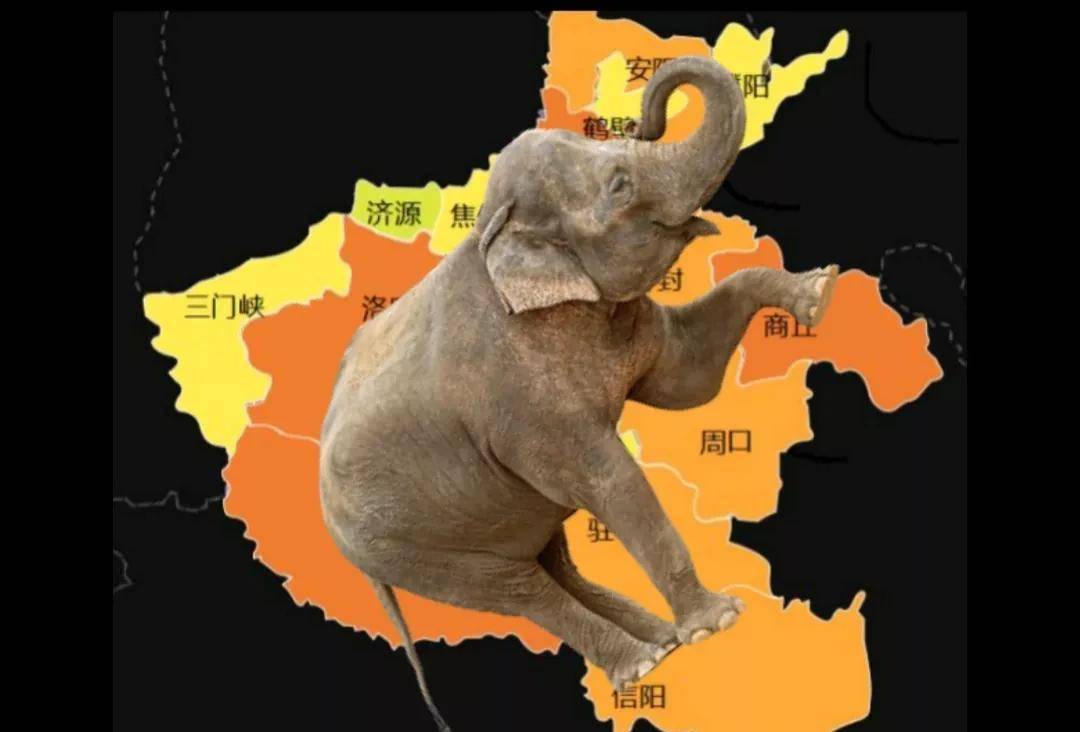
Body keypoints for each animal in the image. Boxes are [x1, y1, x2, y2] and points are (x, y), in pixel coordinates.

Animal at [319, 55, 839, 731]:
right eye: (618, 185)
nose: (647, 117)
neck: (492, 231)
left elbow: (687, 379)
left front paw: (818, 294)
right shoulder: (523, 404)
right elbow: (611, 480)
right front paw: (718, 622)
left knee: (551, 558)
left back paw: (660, 643)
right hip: (402, 545)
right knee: (513, 588)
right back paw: (644, 663)